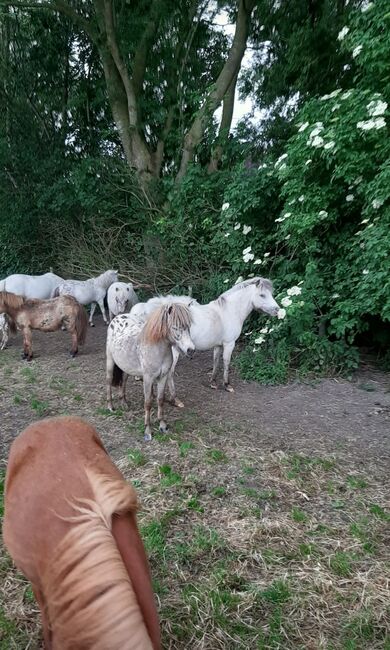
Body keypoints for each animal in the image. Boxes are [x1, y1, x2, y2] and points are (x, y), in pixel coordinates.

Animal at [106, 302, 194, 438]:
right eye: (175, 327)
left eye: (189, 326)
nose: (191, 349)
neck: (157, 349)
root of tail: (117, 318)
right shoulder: (148, 379)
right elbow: (147, 403)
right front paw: (147, 430)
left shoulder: (163, 377)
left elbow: (160, 399)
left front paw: (162, 425)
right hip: (110, 361)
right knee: (109, 381)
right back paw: (110, 406)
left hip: (126, 366)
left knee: (123, 381)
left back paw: (124, 403)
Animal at [130, 276, 280, 402]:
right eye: (262, 295)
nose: (277, 310)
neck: (228, 311)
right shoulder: (229, 344)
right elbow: (226, 363)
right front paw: (227, 385)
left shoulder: (218, 345)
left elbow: (216, 361)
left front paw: (213, 382)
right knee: (170, 373)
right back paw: (174, 399)